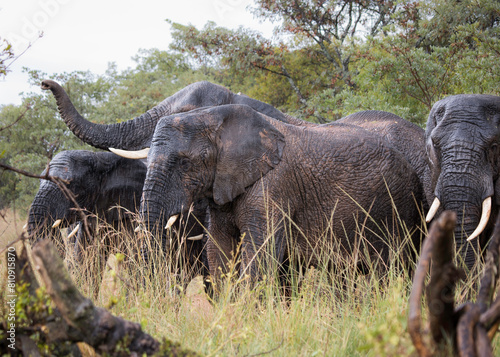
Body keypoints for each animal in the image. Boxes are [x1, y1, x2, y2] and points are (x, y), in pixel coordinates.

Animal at [136, 103, 422, 284]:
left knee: (389, 269)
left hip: (395, 206)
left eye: (185, 163)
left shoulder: (273, 187)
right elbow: (219, 250)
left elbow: (259, 257)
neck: (216, 118)